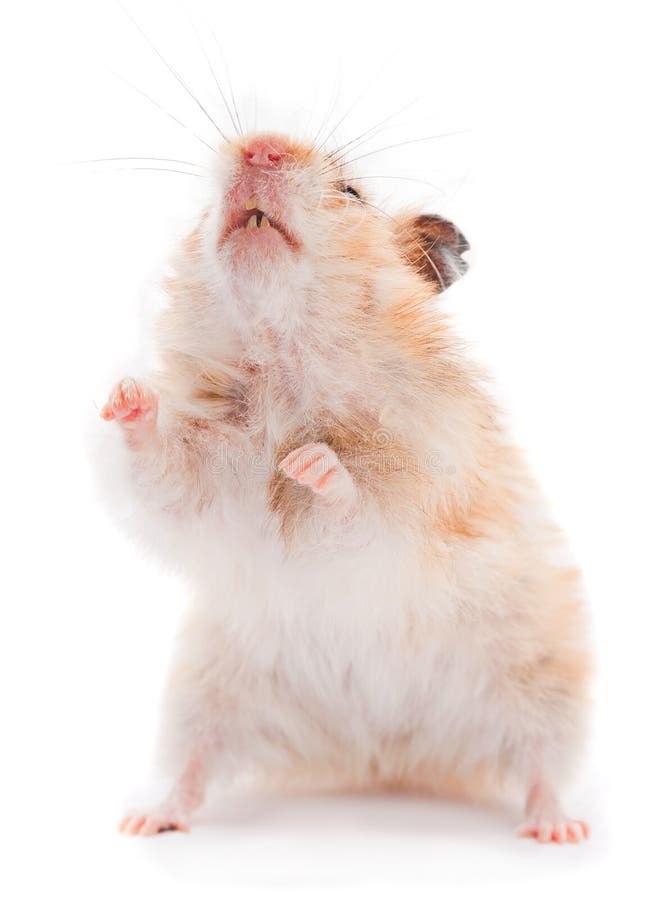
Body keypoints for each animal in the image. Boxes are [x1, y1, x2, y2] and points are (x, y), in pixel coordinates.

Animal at [99, 132, 591, 843]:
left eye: (352, 193)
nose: (259, 146)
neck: (283, 371)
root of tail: (383, 753)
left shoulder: (413, 509)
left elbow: (354, 510)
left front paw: (312, 464)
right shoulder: (203, 483)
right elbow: (160, 475)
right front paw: (127, 395)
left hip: (545, 681)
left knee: (540, 763)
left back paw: (557, 828)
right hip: (206, 688)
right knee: (195, 764)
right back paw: (148, 819)